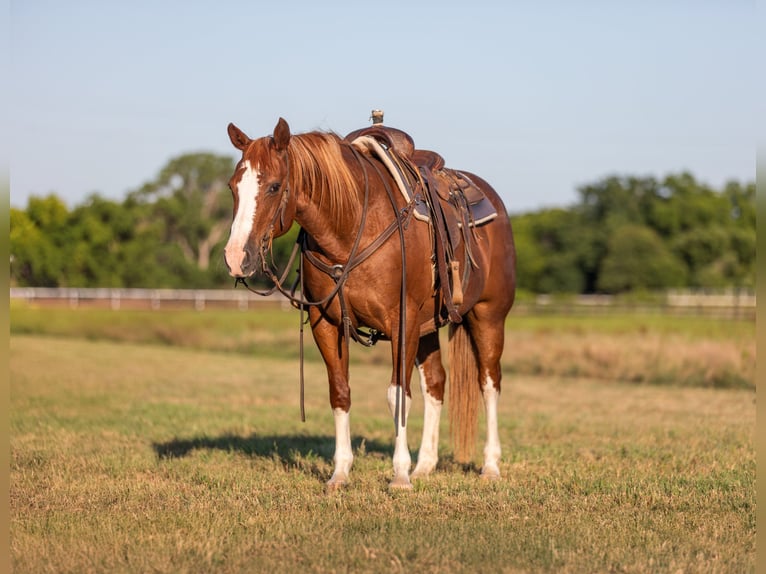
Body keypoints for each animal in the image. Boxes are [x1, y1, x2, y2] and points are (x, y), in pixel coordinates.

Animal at [225, 119, 520, 492]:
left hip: (488, 316)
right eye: (233, 186)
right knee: (436, 383)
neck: (351, 228)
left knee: (489, 382)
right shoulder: (327, 323)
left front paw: (399, 476)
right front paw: (340, 473)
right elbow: (340, 392)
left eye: (275, 186)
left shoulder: (402, 322)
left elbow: (398, 396)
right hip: (427, 327)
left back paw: (490, 466)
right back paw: (425, 465)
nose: (236, 257)